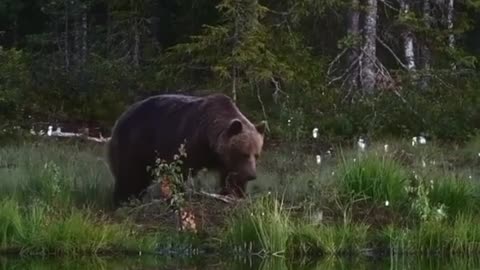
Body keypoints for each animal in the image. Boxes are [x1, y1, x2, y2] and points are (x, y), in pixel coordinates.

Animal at [106, 93, 266, 207]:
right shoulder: (188, 142)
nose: (252, 175)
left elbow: (232, 180)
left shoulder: (225, 162)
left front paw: (235, 194)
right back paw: (123, 201)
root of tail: (120, 118)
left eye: (257, 155)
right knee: (129, 176)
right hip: (135, 143)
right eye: (244, 154)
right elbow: (178, 171)